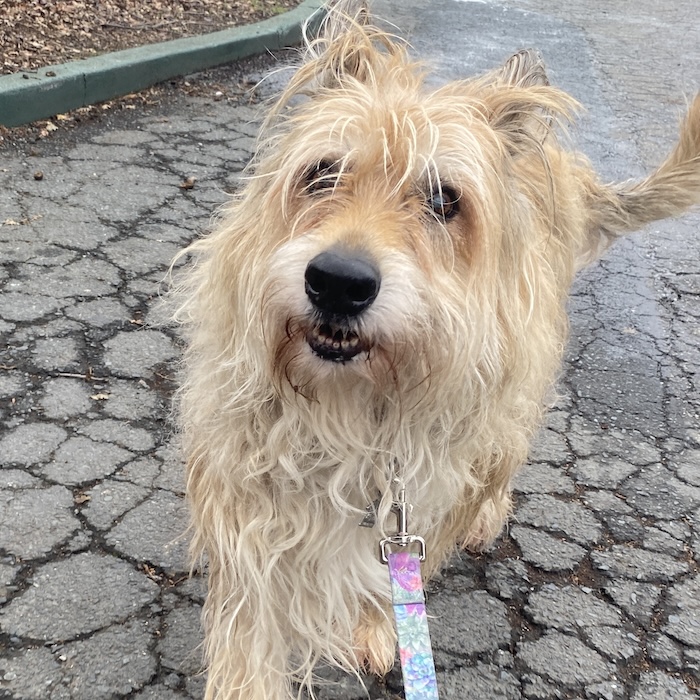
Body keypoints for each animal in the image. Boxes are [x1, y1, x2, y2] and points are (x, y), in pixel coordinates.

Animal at [171, 2, 700, 696]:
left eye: (444, 199)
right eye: (323, 173)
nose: (337, 282)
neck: (352, 407)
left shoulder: (429, 484)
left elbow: (390, 569)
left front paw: (376, 623)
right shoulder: (244, 491)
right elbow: (248, 631)